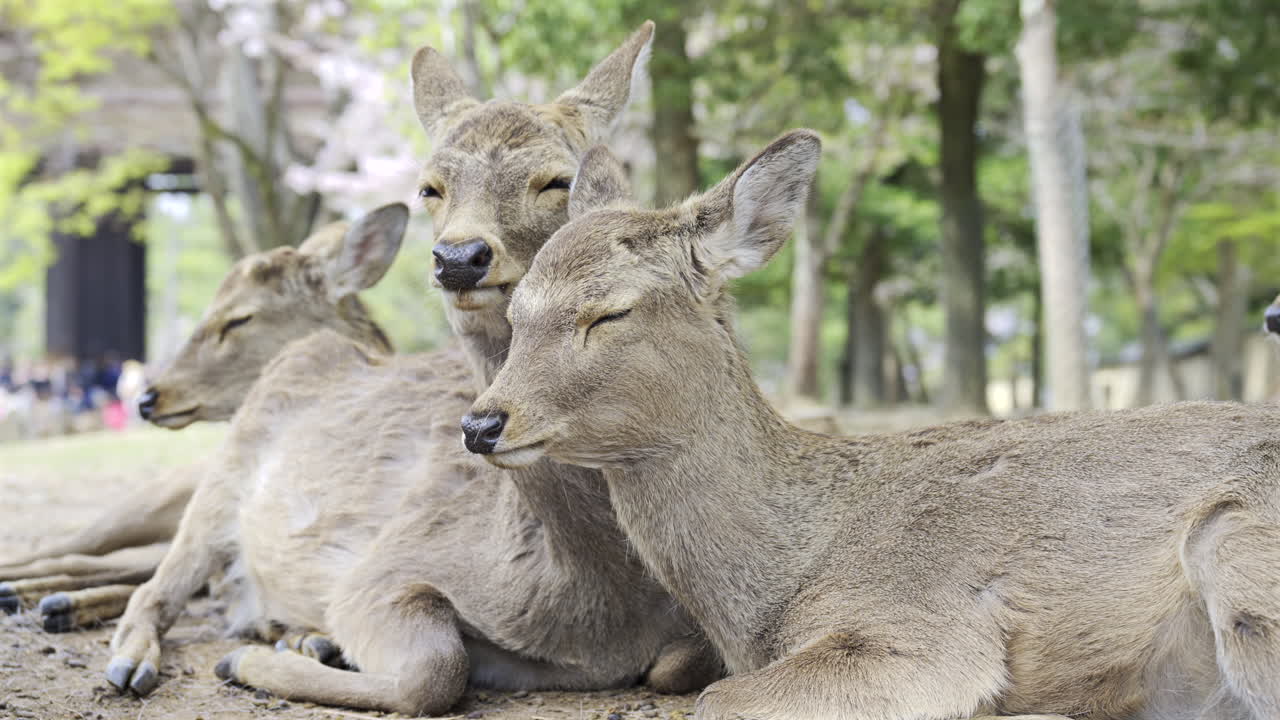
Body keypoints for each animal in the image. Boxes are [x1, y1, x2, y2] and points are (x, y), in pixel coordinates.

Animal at [104, 22, 720, 715]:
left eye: (556, 181)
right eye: (430, 187)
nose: (459, 257)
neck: (596, 605)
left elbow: (679, 665)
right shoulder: (377, 571)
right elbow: (436, 669)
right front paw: (244, 662)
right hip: (220, 479)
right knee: (159, 583)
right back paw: (134, 661)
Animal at [467, 129, 1280, 720]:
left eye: (609, 313)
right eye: (516, 311)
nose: (481, 424)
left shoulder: (918, 625)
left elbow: (717, 700)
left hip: (1240, 551)